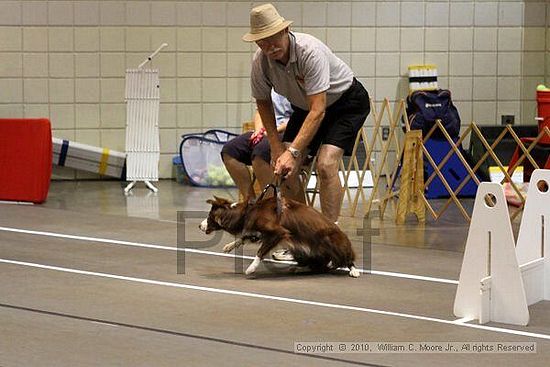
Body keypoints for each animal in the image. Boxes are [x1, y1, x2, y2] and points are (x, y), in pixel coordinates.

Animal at [199, 194, 362, 278]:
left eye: (209, 217)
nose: (199, 226)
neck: (248, 211)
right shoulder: (259, 232)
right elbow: (244, 237)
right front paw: (229, 246)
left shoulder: (278, 232)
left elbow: (260, 252)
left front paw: (251, 268)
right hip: (300, 250)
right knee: (318, 266)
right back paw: (299, 268)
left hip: (331, 240)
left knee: (342, 260)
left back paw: (353, 269)